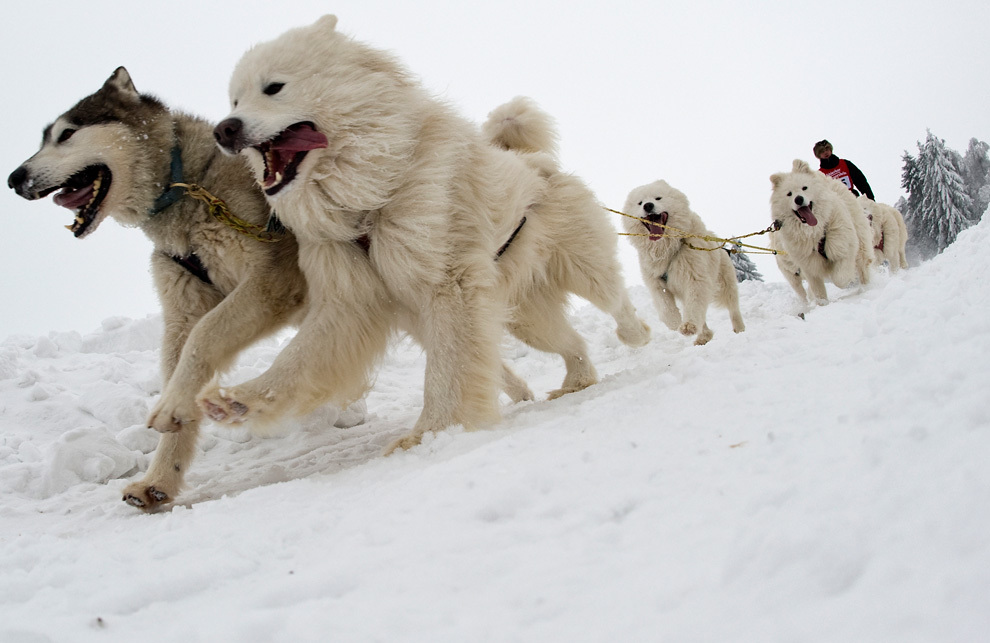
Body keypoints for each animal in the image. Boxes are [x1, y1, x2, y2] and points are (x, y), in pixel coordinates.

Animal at [203, 18, 652, 452]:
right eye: (234, 101)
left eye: (273, 87)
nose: (223, 130)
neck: (366, 202)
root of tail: (533, 160)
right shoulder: (349, 302)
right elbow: (296, 361)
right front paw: (239, 400)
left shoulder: (448, 287)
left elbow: (445, 370)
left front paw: (432, 433)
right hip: (526, 319)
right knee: (573, 344)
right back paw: (576, 383)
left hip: (583, 268)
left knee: (616, 299)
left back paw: (636, 335)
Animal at [620, 179, 744, 344]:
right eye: (640, 203)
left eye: (658, 198)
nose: (648, 205)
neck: (667, 249)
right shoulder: (655, 282)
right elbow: (665, 308)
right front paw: (675, 322)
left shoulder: (695, 277)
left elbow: (694, 304)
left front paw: (688, 326)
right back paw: (703, 337)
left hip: (724, 284)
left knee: (733, 307)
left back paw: (739, 329)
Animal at [768, 160, 876, 304]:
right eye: (789, 194)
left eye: (804, 188)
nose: (798, 199)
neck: (814, 233)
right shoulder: (808, 266)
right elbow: (818, 291)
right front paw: (822, 305)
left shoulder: (843, 248)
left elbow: (840, 279)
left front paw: (847, 281)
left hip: (861, 245)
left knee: (863, 268)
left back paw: (866, 287)